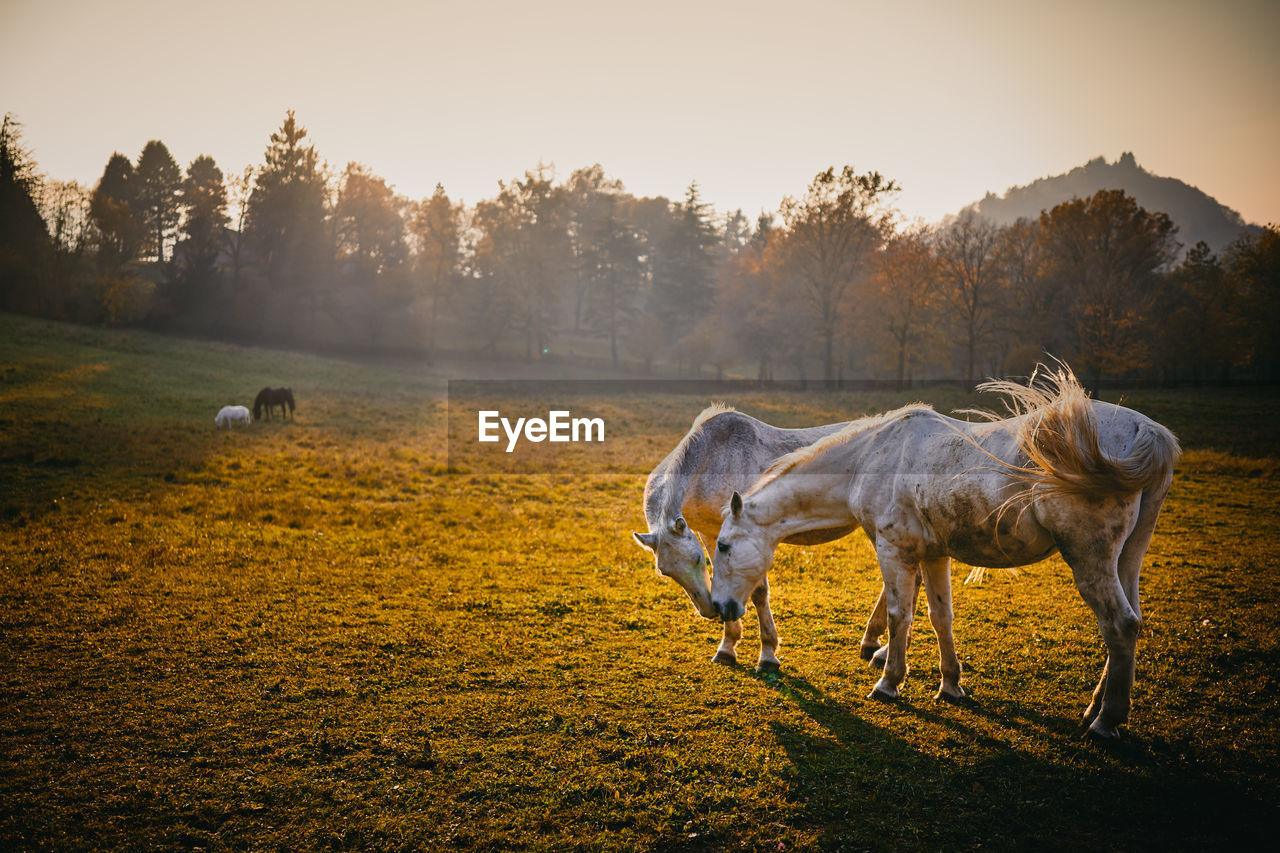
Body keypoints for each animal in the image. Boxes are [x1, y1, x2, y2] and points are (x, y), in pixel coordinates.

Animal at [632, 404, 860, 671]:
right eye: (665, 572)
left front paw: (768, 655)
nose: (709, 610)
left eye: (697, 560)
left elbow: (759, 592)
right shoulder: (710, 533)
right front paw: (727, 648)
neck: (713, 462)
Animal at [711, 366, 1177, 737]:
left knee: (1119, 625)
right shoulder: (935, 554)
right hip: (1127, 559)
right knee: (1132, 622)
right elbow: (940, 617)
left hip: (1090, 558)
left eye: (723, 545)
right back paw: (1095, 709)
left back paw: (1106, 723)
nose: (719, 607)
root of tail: (1149, 433)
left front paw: (888, 683)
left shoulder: (894, 551)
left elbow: (900, 615)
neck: (872, 457)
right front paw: (950, 685)